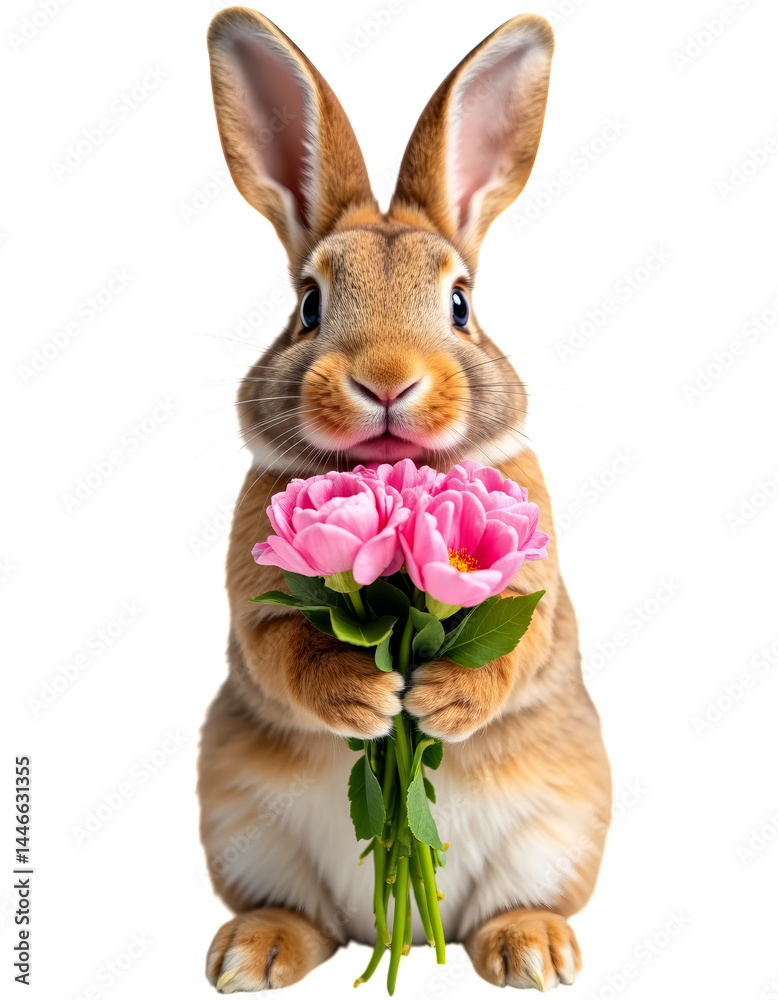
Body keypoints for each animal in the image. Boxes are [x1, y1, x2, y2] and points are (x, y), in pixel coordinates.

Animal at [198, 7, 612, 994]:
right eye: (309, 304)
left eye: (460, 302)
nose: (386, 380)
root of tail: (409, 933)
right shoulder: (256, 586)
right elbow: (281, 647)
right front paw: (370, 700)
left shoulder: (532, 575)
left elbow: (518, 647)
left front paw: (438, 706)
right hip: (239, 826)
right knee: (301, 916)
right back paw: (253, 952)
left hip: (565, 826)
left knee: (522, 905)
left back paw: (532, 950)